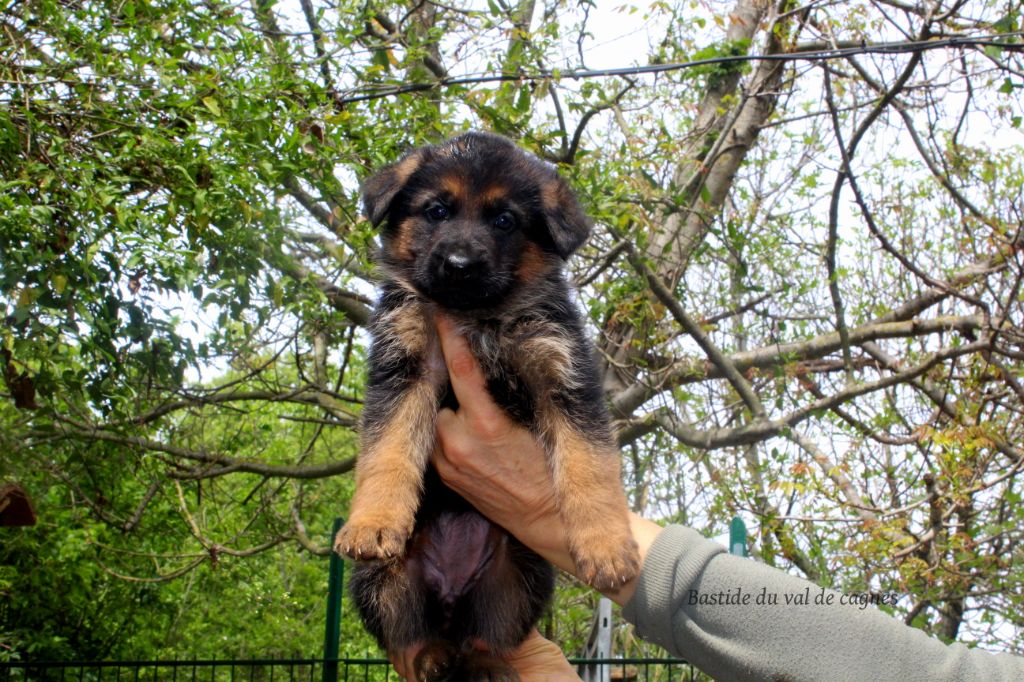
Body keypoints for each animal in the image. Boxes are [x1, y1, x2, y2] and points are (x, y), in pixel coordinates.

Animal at [335, 130, 638, 675]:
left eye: (505, 221)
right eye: (436, 211)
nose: (460, 266)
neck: (478, 317)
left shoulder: (565, 376)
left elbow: (590, 467)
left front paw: (606, 546)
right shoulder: (403, 370)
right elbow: (387, 453)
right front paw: (373, 522)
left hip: (518, 579)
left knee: (485, 638)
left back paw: (486, 664)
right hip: (383, 585)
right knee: (410, 641)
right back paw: (434, 658)